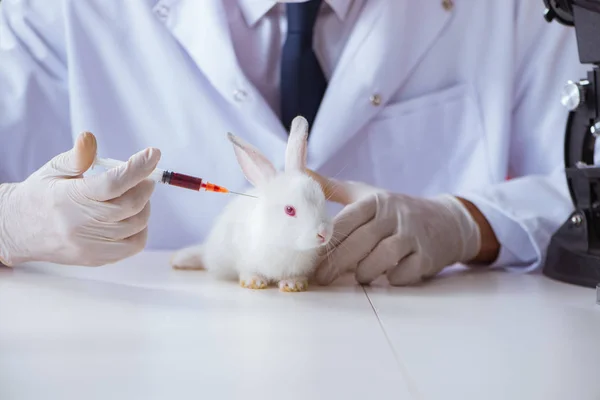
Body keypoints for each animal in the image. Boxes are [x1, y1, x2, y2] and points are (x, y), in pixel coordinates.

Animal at [170, 115, 332, 290]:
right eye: (289, 210)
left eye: (322, 199)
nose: (324, 234)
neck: (286, 245)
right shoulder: (245, 257)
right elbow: (248, 270)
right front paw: (254, 282)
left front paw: (293, 284)